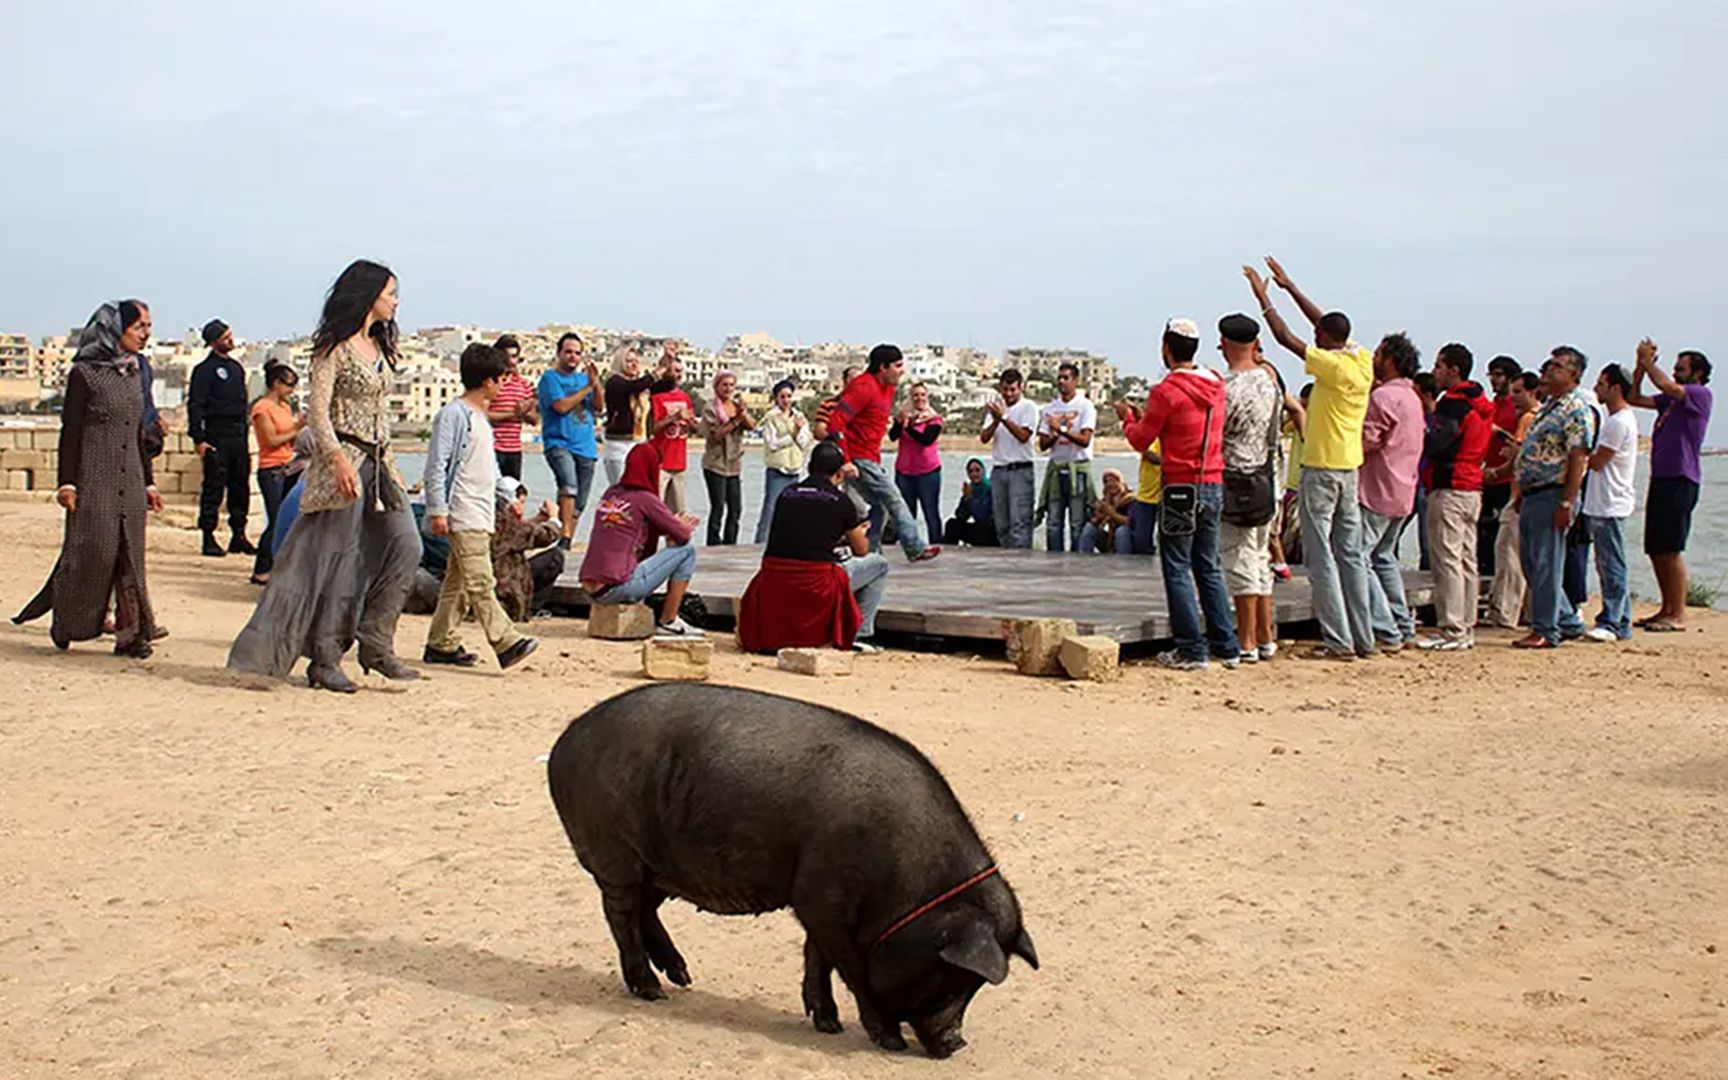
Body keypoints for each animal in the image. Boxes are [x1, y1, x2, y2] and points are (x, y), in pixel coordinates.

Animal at [546, 680, 1029, 1050]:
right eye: (951, 974)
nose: (957, 1043)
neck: (910, 884)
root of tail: (562, 743)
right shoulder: (820, 900)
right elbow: (852, 968)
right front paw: (888, 1041)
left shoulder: (819, 901)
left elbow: (818, 957)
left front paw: (829, 1025)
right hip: (616, 851)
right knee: (621, 914)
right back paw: (652, 992)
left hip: (659, 864)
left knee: (645, 910)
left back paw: (682, 978)